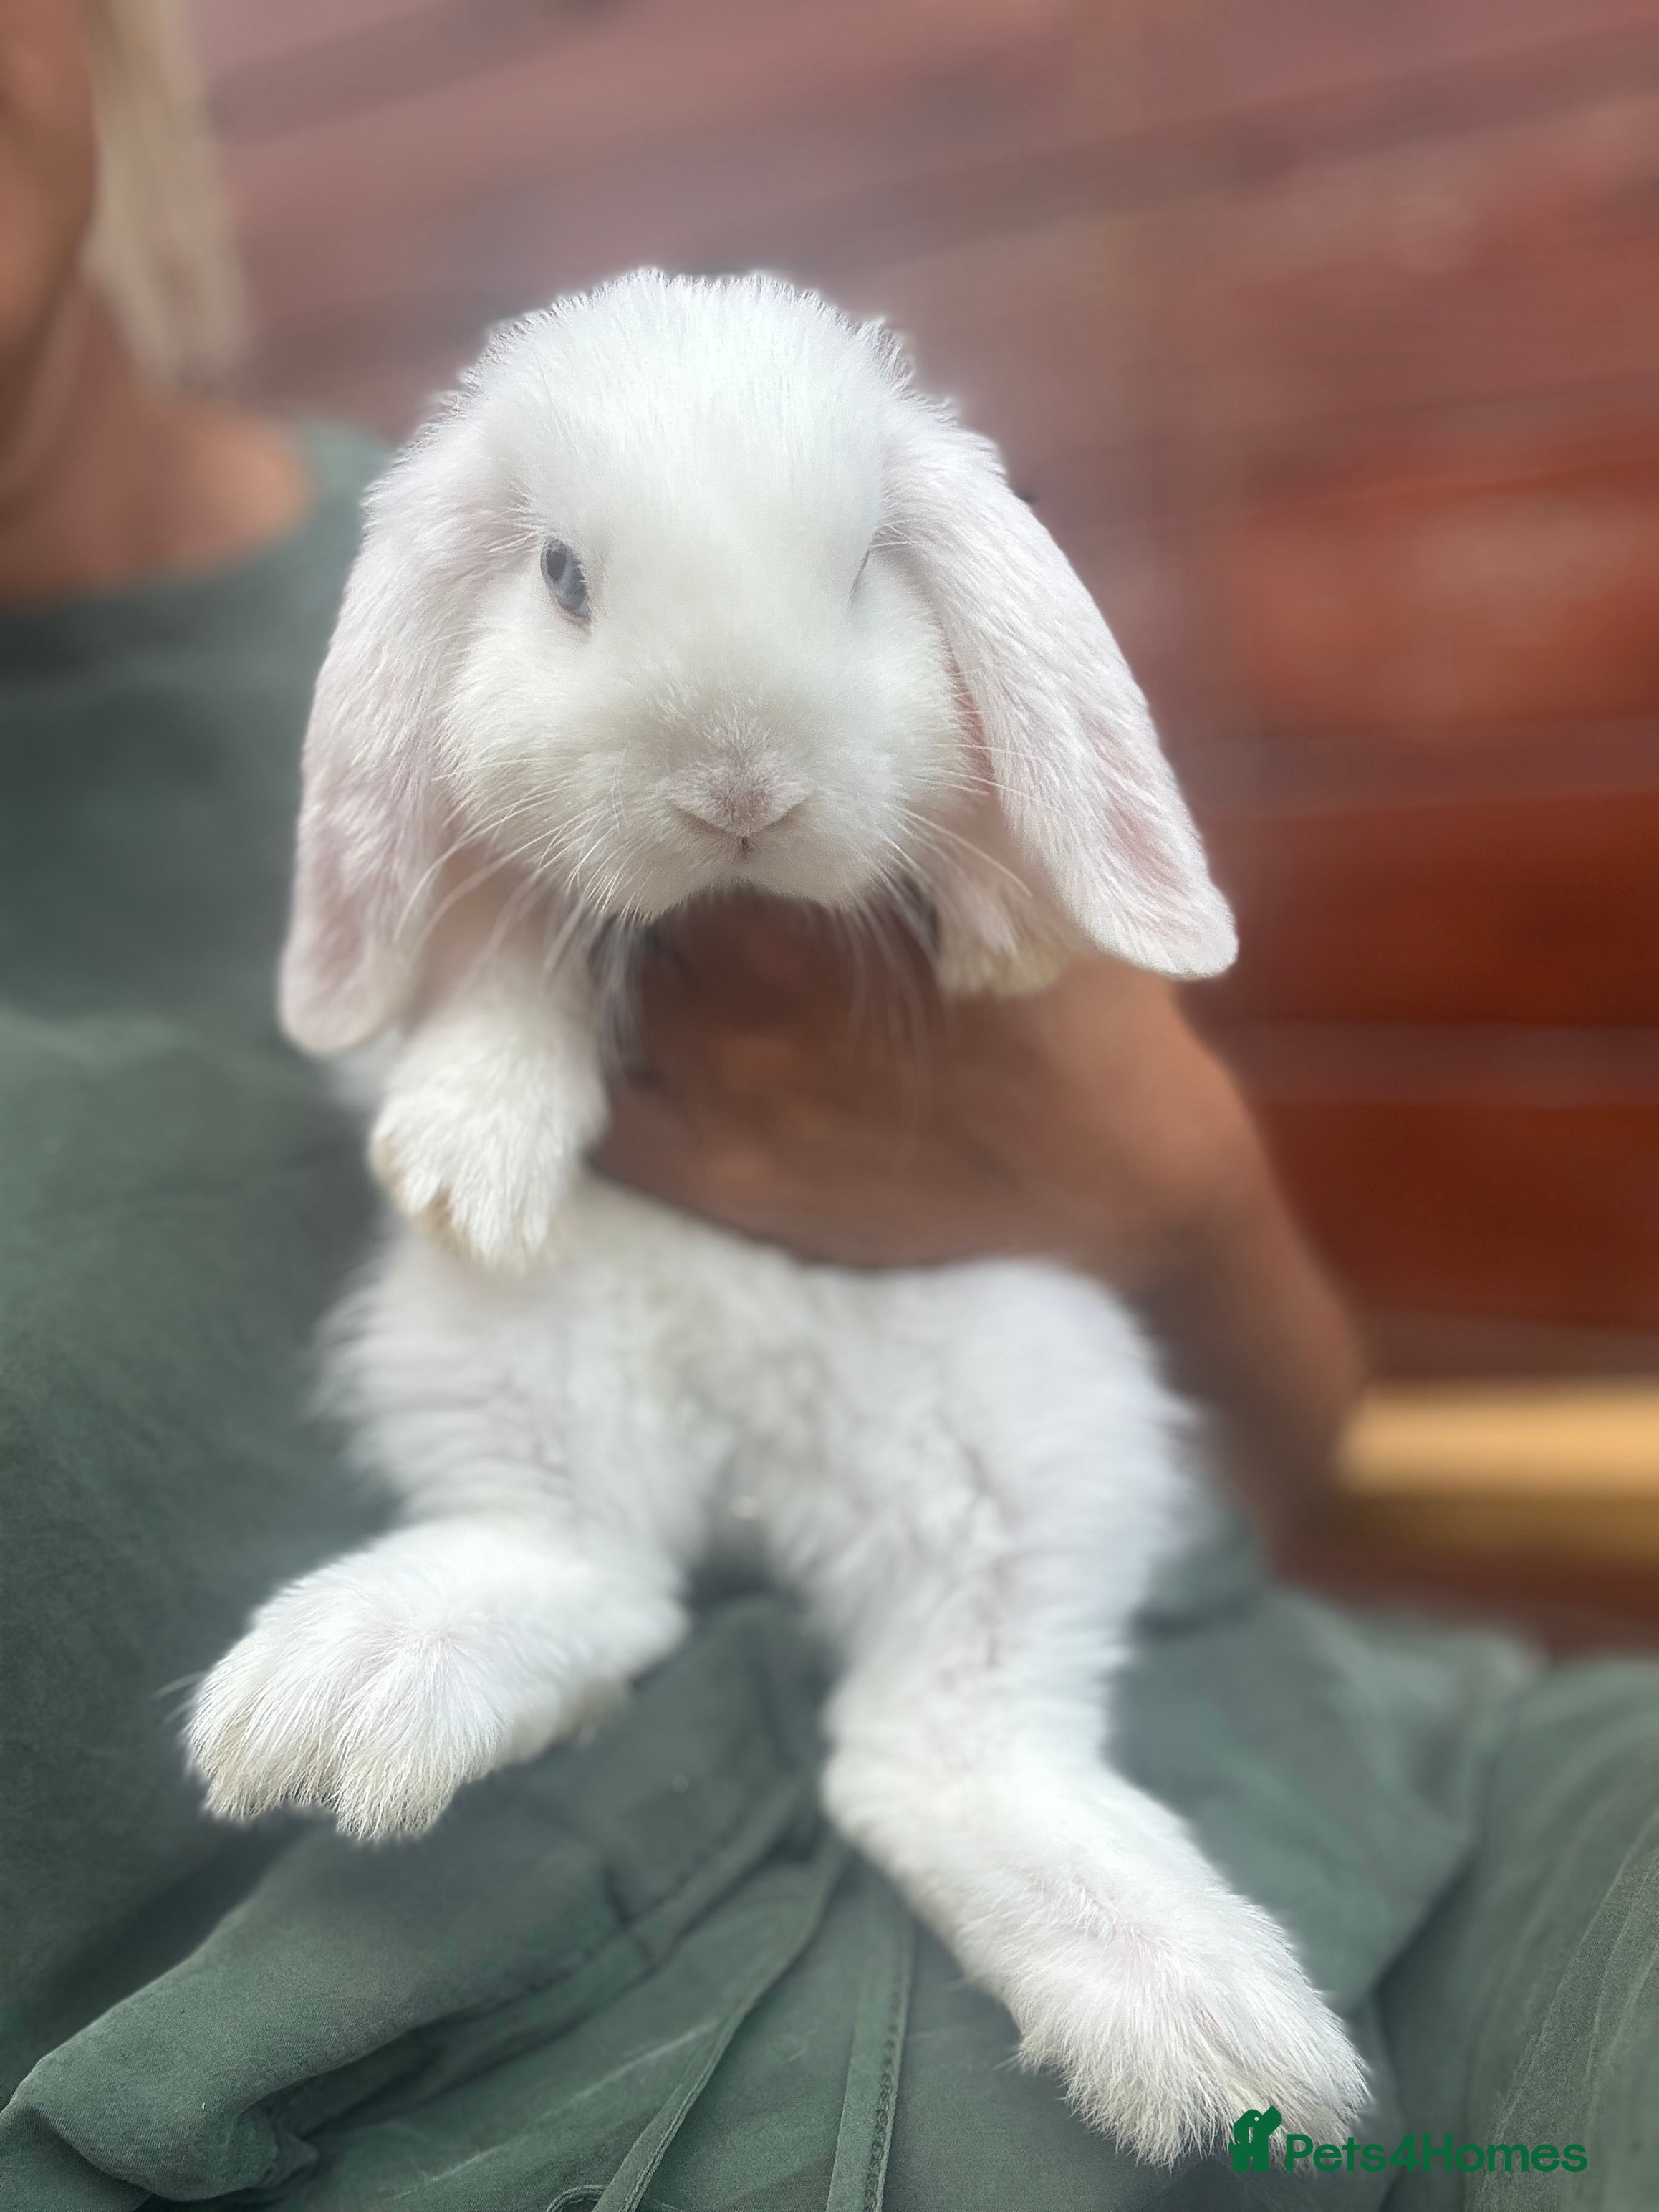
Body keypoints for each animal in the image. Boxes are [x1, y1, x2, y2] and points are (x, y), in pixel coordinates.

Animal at [187, 271, 1365, 2165]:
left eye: (867, 564)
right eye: (560, 574)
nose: (740, 787)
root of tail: (755, 1465)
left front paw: (997, 927)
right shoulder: (502, 907)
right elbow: (512, 956)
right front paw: (466, 1146)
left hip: (1033, 1430)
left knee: (924, 1746)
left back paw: (1194, 2022)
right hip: (496, 1345)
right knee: (602, 1578)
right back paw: (349, 1689)